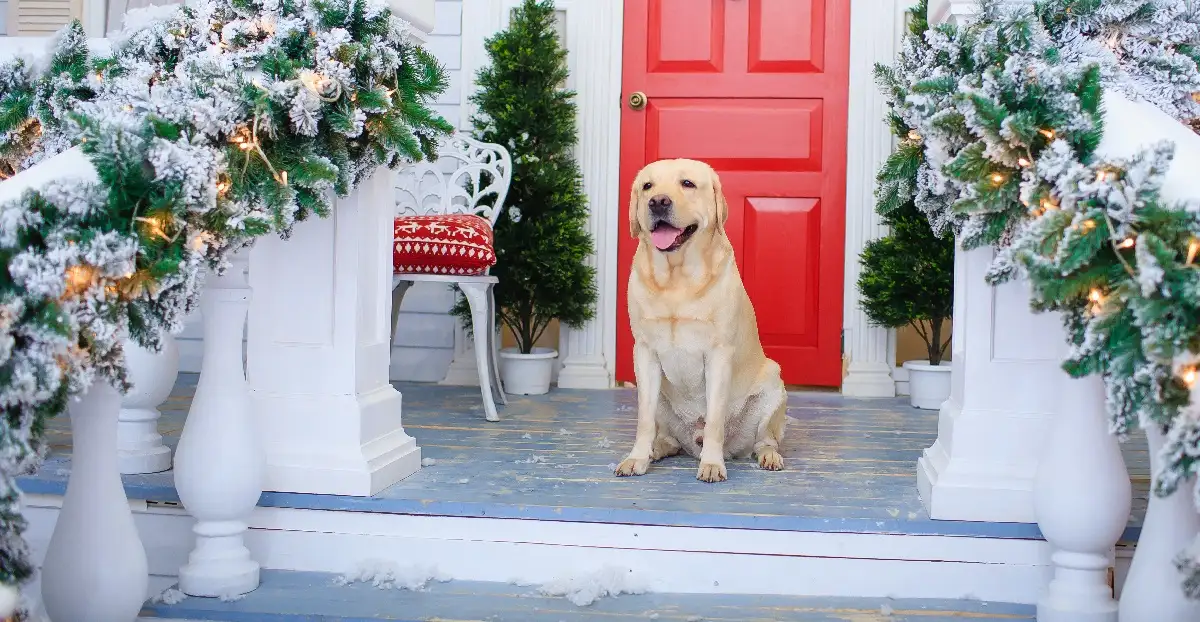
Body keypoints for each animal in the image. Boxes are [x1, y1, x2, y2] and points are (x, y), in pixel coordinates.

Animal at [614, 158, 792, 485]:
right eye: (647, 186)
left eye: (687, 184)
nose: (658, 202)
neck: (676, 279)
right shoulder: (644, 352)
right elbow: (644, 420)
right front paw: (636, 458)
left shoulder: (718, 354)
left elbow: (715, 420)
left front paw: (711, 464)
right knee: (667, 438)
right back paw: (655, 450)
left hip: (773, 385)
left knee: (764, 440)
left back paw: (768, 456)